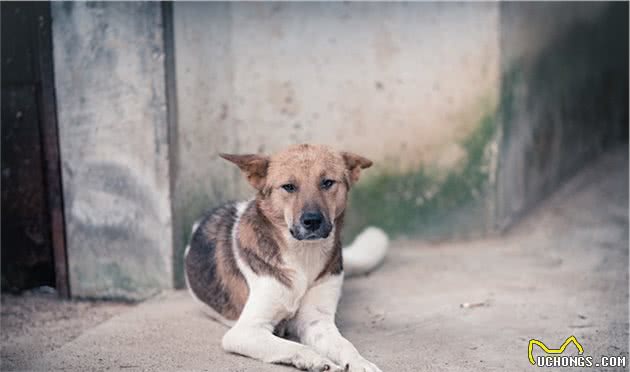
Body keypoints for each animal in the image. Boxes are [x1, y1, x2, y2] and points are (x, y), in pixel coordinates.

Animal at [184, 145, 390, 372]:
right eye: (289, 187)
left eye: (327, 182)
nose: (312, 221)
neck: (303, 255)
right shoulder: (245, 331)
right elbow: (294, 346)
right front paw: (315, 360)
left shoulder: (317, 323)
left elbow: (346, 346)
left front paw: (360, 363)